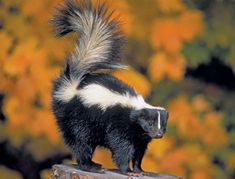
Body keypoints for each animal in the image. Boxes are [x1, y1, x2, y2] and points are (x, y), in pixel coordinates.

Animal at [51, 0, 169, 173]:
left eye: (163, 124)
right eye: (150, 123)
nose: (159, 134)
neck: (134, 113)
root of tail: (72, 84)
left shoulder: (140, 136)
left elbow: (139, 152)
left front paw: (139, 170)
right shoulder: (120, 126)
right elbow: (122, 148)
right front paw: (127, 170)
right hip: (78, 119)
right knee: (81, 142)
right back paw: (89, 165)